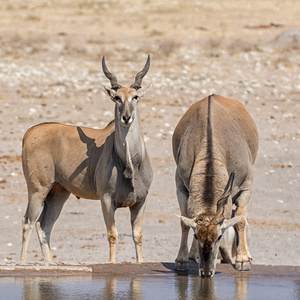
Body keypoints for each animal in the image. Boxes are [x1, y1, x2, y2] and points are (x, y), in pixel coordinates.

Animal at [19, 55, 152, 262]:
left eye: (135, 97)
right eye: (117, 98)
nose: (126, 117)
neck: (130, 164)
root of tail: (29, 133)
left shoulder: (140, 201)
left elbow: (137, 235)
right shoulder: (106, 200)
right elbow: (112, 235)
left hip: (58, 192)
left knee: (44, 226)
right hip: (38, 189)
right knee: (28, 223)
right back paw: (23, 263)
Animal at [172, 94, 258, 276]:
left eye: (219, 236)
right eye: (197, 236)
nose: (206, 272)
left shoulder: (246, 187)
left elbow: (240, 220)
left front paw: (243, 260)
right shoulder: (181, 187)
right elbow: (184, 223)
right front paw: (181, 260)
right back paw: (193, 254)